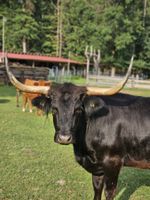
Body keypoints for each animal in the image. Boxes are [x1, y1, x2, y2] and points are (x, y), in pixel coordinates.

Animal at [4, 56, 150, 200]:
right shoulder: (97, 169)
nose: (64, 138)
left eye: (78, 109)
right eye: (54, 109)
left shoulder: (113, 163)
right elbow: (97, 190)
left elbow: (109, 193)